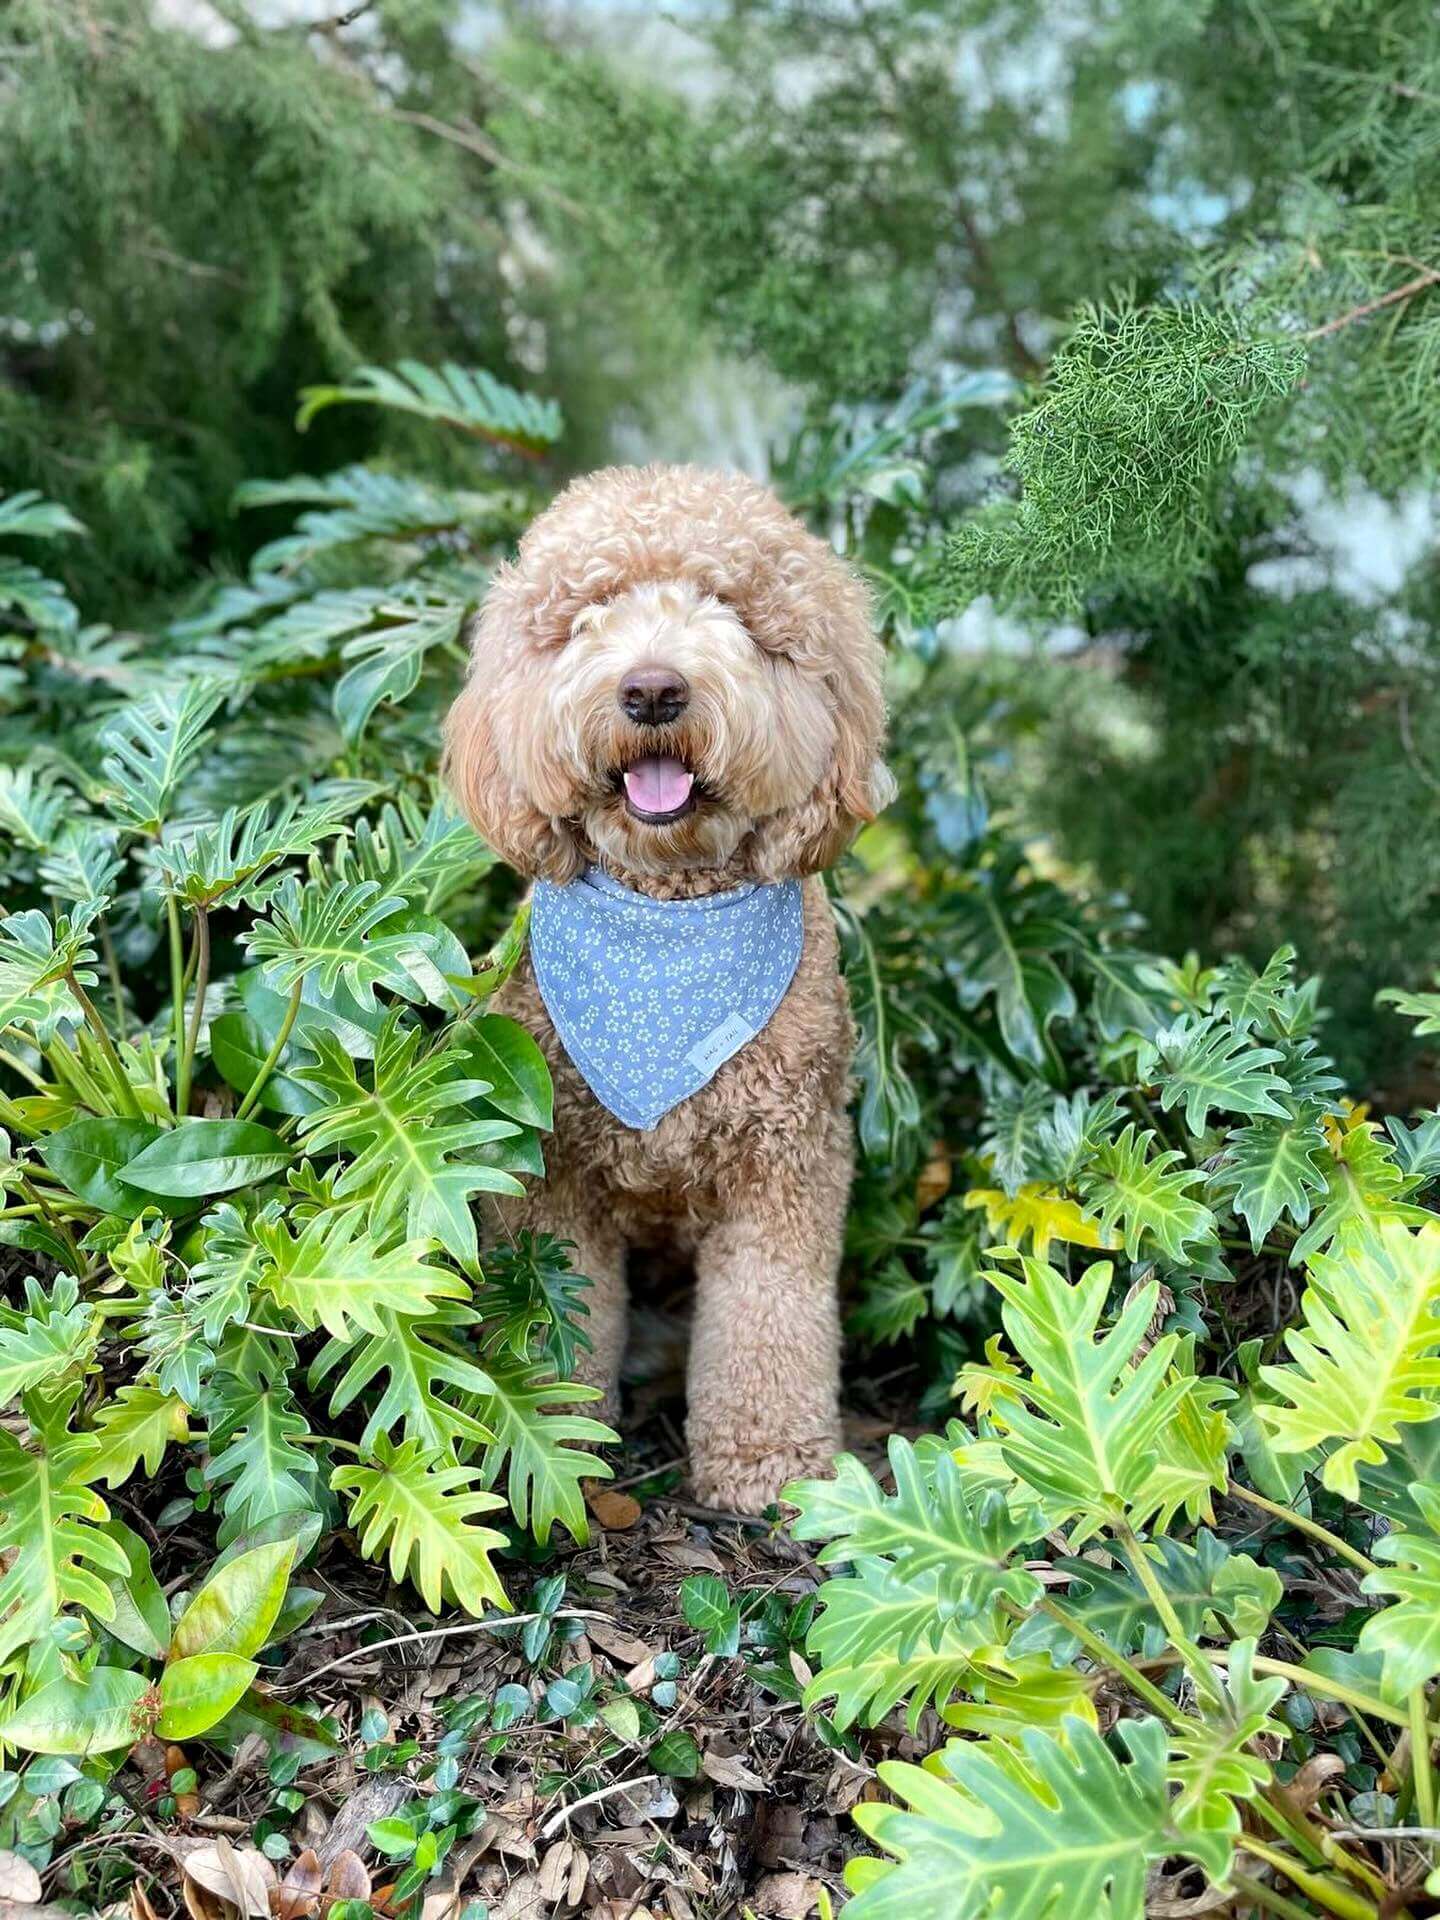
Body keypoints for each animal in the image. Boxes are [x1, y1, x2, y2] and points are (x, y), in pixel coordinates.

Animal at [443, 464, 890, 1512]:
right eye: (589, 616)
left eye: (725, 607)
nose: (651, 689)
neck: (669, 907)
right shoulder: (550, 1173)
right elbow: (559, 1307)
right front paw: (558, 1434)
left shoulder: (787, 1166)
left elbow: (770, 1316)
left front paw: (770, 1465)